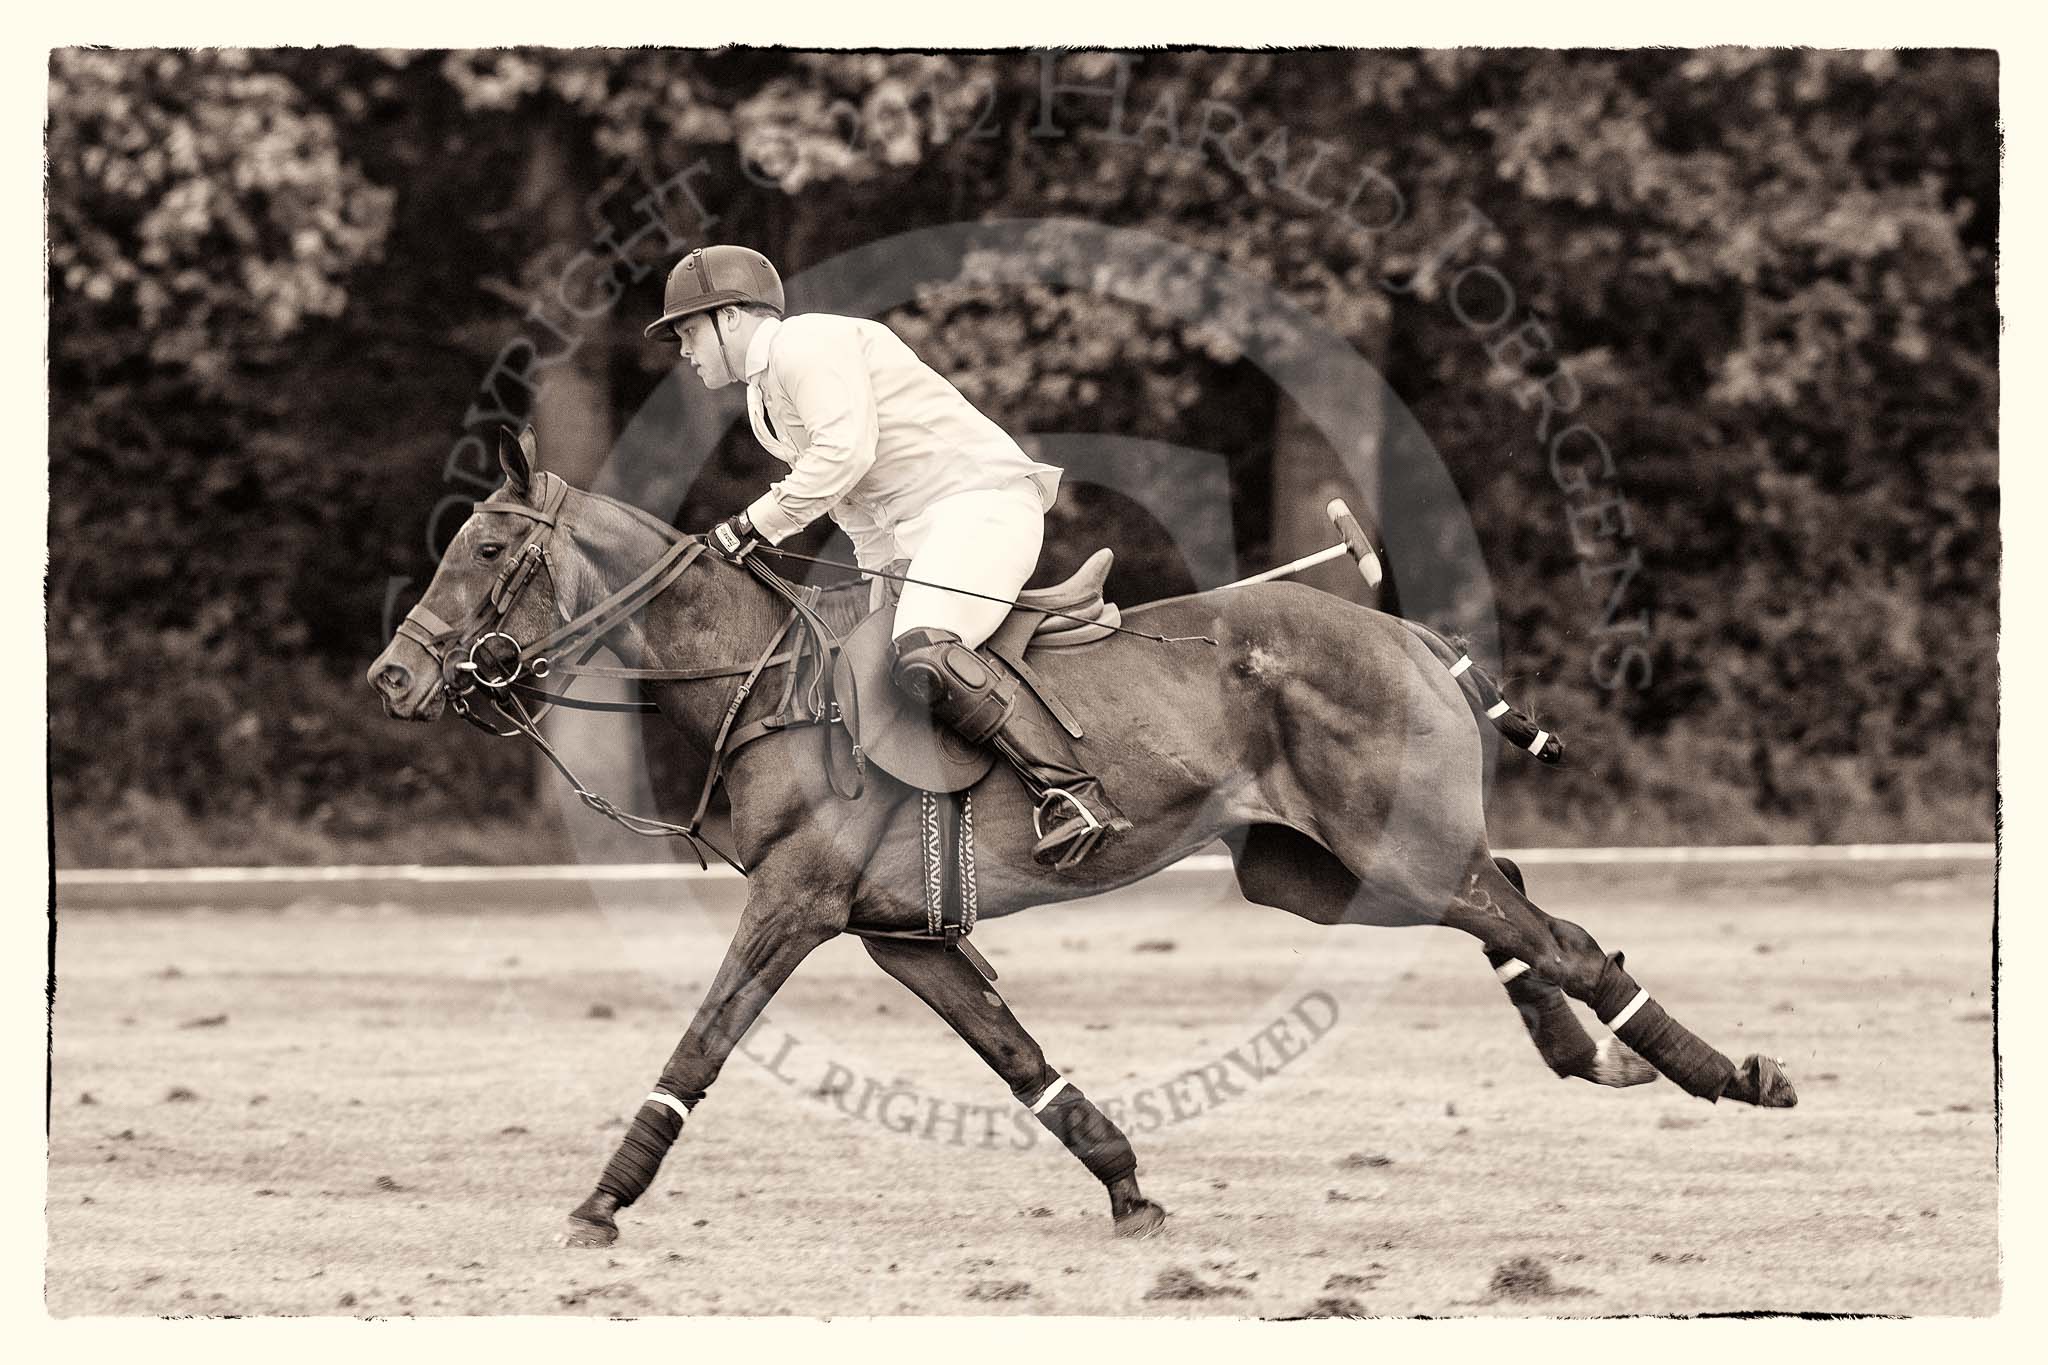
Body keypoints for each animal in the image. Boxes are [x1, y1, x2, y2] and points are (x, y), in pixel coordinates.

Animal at [368, 429, 1794, 1252]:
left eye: (484, 544)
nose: (392, 680)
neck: (764, 680)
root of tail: (1409, 632)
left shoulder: (795, 903)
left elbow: (701, 1043)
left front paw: (601, 1200)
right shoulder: (898, 936)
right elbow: (1017, 1061)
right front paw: (1128, 1190)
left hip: (1385, 855)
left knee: (1559, 933)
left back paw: (1726, 1075)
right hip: (1317, 871)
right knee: (1514, 908)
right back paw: (1590, 1054)